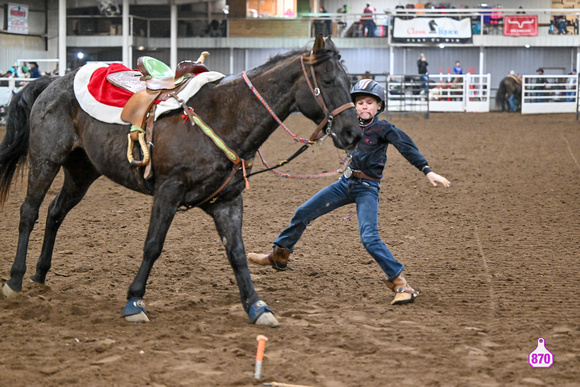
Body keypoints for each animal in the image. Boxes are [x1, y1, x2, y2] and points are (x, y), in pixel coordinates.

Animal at [0, 36, 362, 328]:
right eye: (328, 79)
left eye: (349, 80)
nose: (353, 133)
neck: (224, 115)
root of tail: (51, 82)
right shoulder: (168, 191)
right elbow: (153, 245)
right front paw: (134, 301)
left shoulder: (227, 201)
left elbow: (237, 253)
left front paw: (257, 306)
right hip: (46, 160)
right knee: (29, 212)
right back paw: (15, 280)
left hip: (82, 172)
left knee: (55, 212)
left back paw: (40, 273)